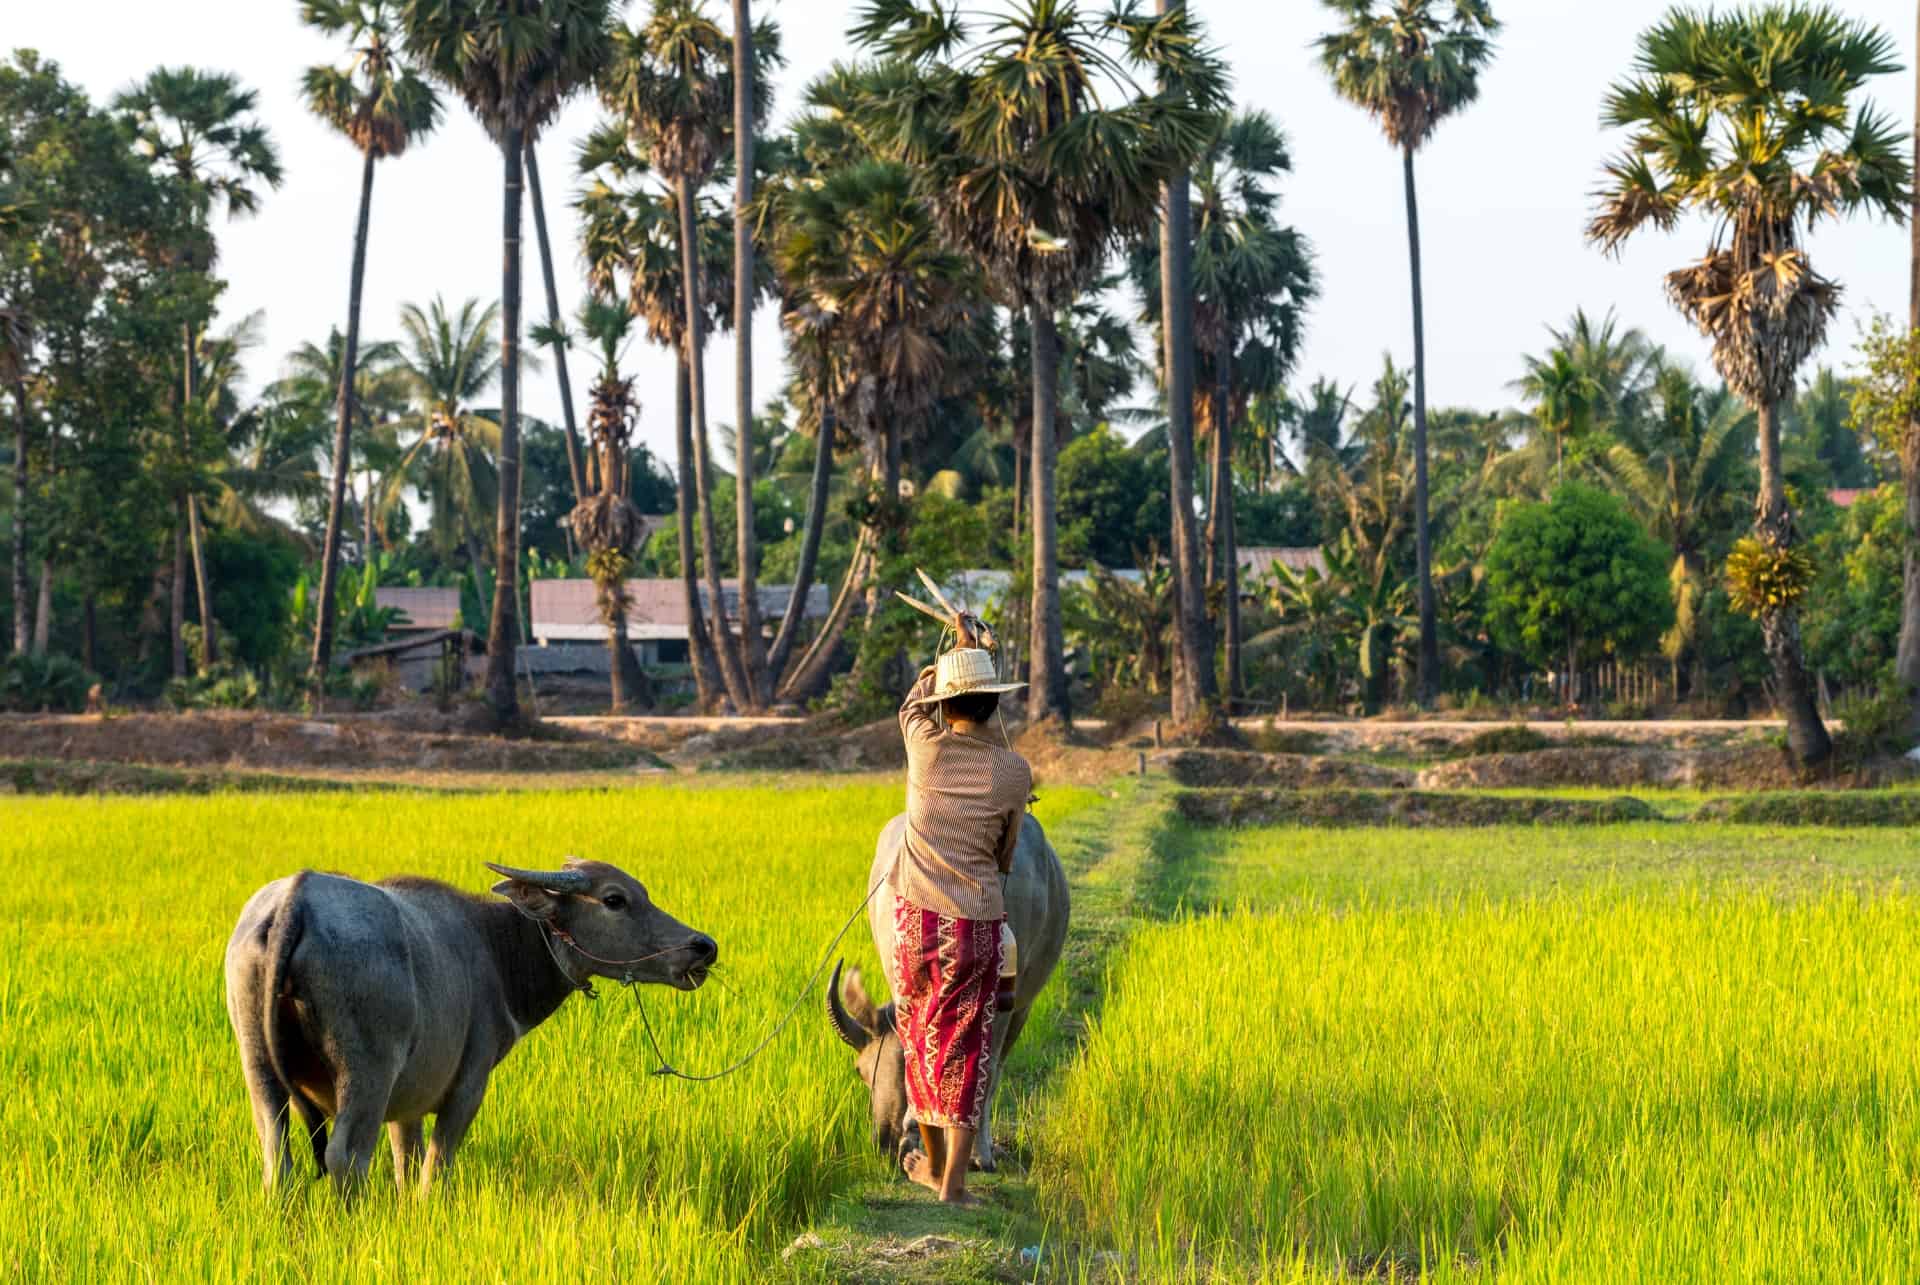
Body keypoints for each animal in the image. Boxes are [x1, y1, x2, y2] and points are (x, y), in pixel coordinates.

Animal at [224, 860, 718, 1190]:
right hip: (367, 1074)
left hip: (258, 1064)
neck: (495, 950)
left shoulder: (408, 1105)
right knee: (346, 1157)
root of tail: (297, 897)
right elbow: (435, 1169)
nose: (704, 947)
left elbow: (406, 1166)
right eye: (615, 899)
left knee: (277, 1156)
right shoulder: (467, 1086)